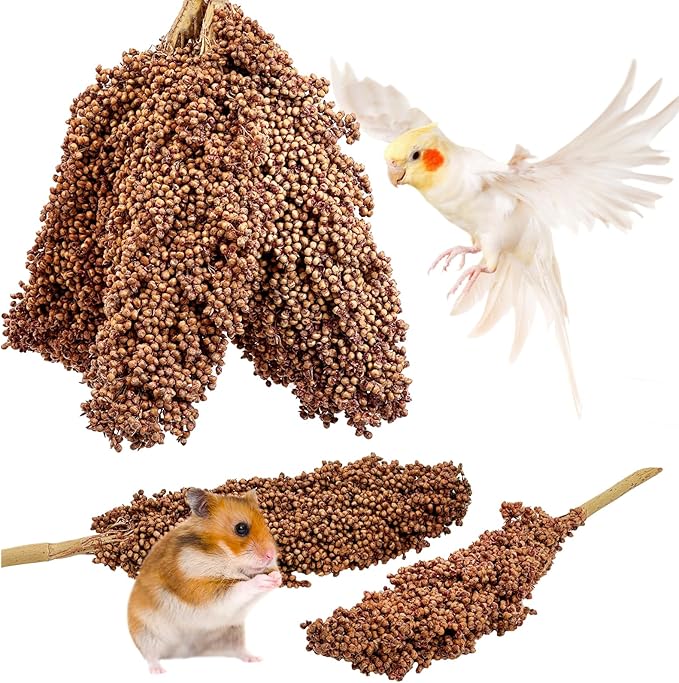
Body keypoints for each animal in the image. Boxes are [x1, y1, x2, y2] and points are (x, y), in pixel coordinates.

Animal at [127, 488, 281, 674]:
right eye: (241, 528)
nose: (271, 555)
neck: (222, 556)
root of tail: (184, 653)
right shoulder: (201, 591)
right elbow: (239, 588)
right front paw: (264, 580)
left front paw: (277, 577)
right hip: (145, 633)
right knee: (151, 656)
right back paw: (159, 670)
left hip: (232, 633)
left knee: (238, 650)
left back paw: (254, 658)